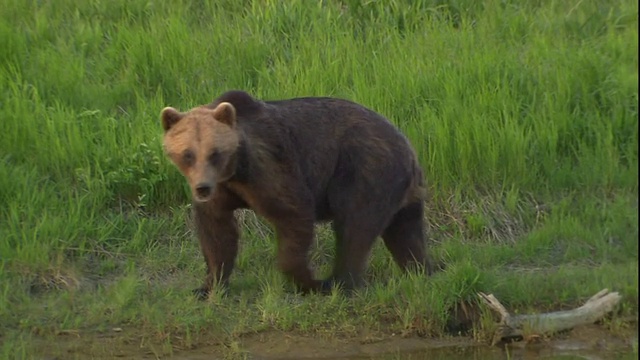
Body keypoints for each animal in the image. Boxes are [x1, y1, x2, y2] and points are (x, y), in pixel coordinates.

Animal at [159, 90, 436, 298]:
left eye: (214, 153)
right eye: (188, 154)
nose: (202, 187)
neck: (235, 170)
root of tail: (408, 149)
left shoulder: (268, 166)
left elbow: (292, 212)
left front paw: (307, 281)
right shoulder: (223, 190)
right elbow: (217, 231)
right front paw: (207, 286)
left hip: (364, 168)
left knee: (355, 225)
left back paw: (339, 282)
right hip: (400, 189)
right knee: (405, 232)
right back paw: (421, 269)